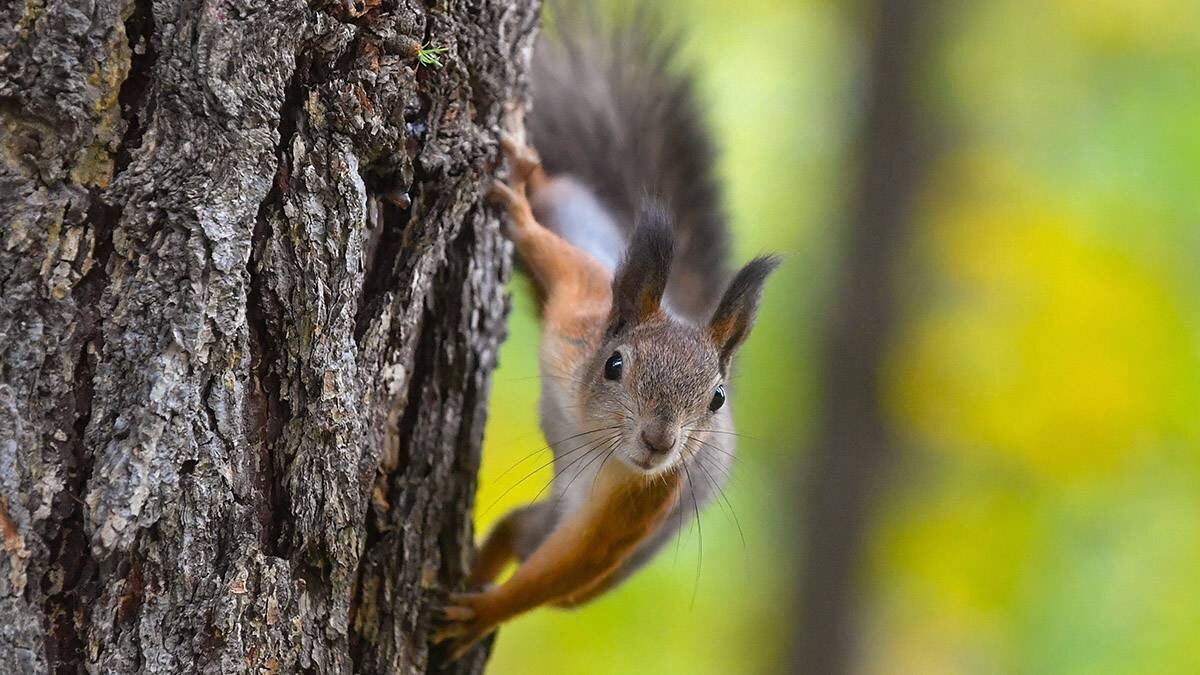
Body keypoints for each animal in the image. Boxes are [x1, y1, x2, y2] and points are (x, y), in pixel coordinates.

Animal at [432, 5, 777, 658]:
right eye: (615, 364)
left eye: (717, 399)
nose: (660, 443)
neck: (592, 425)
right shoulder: (577, 310)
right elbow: (553, 256)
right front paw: (517, 213)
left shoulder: (641, 504)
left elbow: (564, 568)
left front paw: (483, 615)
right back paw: (529, 174)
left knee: (529, 544)